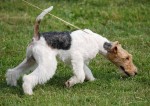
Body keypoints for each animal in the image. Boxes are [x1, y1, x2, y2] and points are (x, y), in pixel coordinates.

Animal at [5, 6, 137, 95]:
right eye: (127, 58)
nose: (135, 72)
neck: (98, 43)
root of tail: (37, 36)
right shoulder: (77, 57)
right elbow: (80, 75)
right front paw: (70, 83)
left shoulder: (79, 61)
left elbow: (86, 72)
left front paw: (92, 80)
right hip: (47, 63)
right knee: (28, 77)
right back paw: (28, 92)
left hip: (30, 59)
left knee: (13, 71)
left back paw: (12, 83)